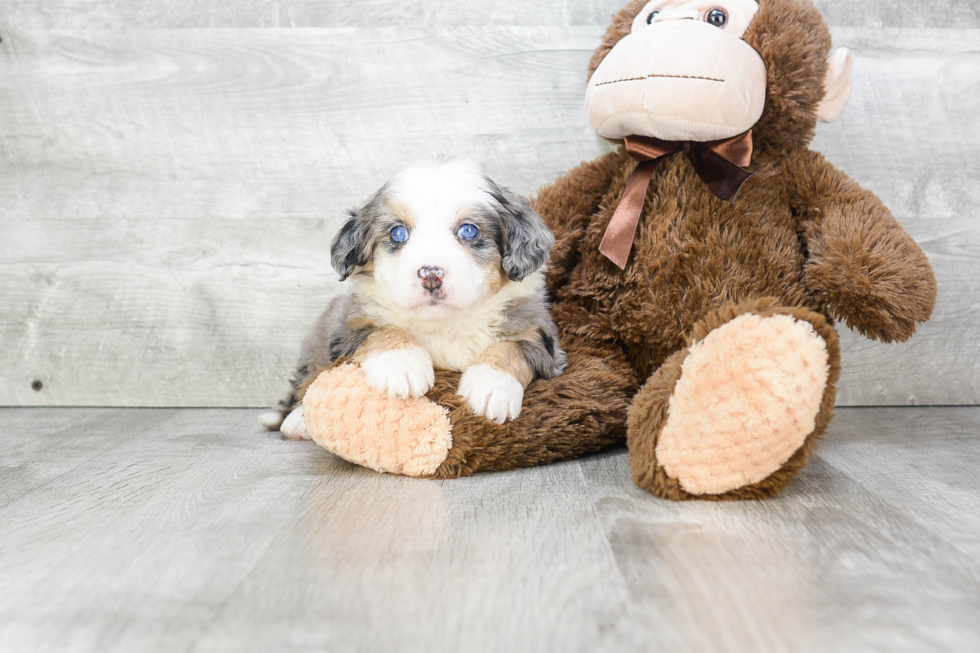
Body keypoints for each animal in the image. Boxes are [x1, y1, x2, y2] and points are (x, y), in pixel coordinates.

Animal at [260, 157, 568, 438]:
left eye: (469, 230)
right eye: (398, 233)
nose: (431, 274)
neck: (445, 323)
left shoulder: (540, 334)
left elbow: (513, 347)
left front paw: (491, 387)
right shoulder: (351, 324)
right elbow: (382, 331)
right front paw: (401, 366)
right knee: (307, 378)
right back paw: (298, 420)